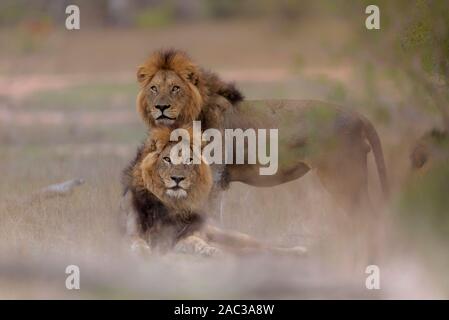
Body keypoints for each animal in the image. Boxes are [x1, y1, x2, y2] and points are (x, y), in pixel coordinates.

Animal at [121, 126, 306, 256]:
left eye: (189, 160)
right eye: (166, 159)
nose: (178, 178)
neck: (170, 205)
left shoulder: (185, 235)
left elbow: (196, 242)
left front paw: (209, 250)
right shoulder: (132, 232)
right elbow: (136, 241)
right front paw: (141, 250)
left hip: (234, 237)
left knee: (264, 246)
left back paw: (299, 250)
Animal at [134, 49, 388, 218]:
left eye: (175, 88)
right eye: (153, 88)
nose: (161, 107)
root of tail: (357, 115)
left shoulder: (212, 178)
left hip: (344, 177)